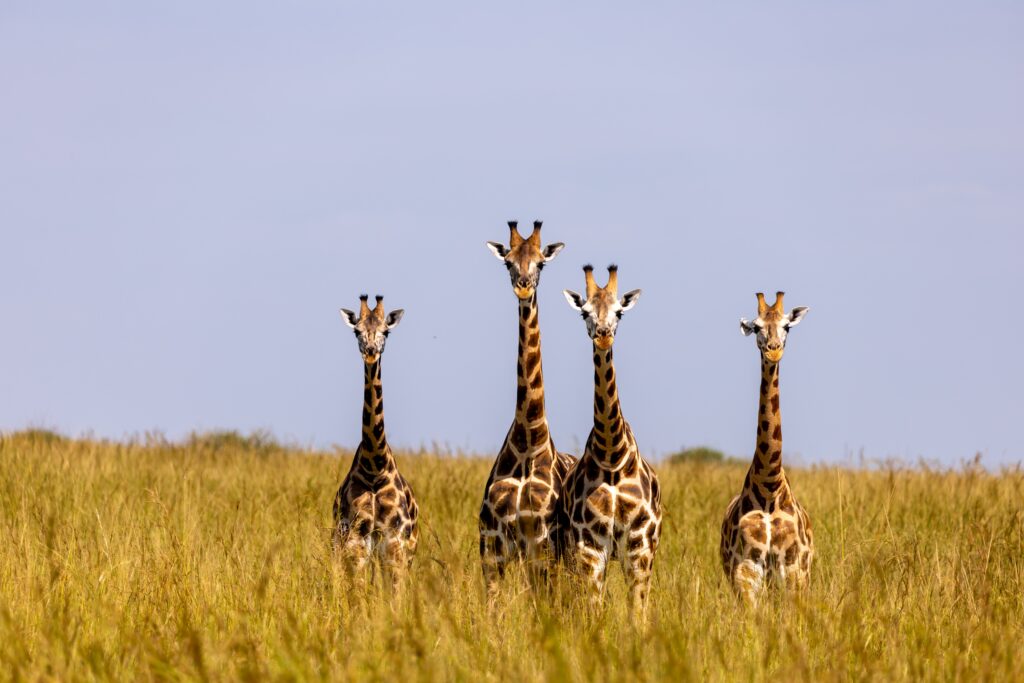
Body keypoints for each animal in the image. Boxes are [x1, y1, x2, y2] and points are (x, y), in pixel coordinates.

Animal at [333, 294, 419, 591]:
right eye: (357, 331)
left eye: (386, 331)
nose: (370, 351)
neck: (374, 465)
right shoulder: (356, 542)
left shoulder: (395, 544)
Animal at [478, 220, 576, 598]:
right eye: (508, 262)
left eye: (541, 263)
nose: (523, 287)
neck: (526, 441)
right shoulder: (493, 545)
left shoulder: (542, 542)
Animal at [558, 265, 662, 620]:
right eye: (585, 312)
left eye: (619, 312)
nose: (603, 335)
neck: (612, 454)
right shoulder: (589, 546)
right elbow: (594, 612)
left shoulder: (639, 546)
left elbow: (638, 614)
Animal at [721, 291, 813, 605]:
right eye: (757, 327)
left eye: (786, 326)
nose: (773, 350)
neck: (770, 486)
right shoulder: (746, 570)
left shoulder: (794, 570)